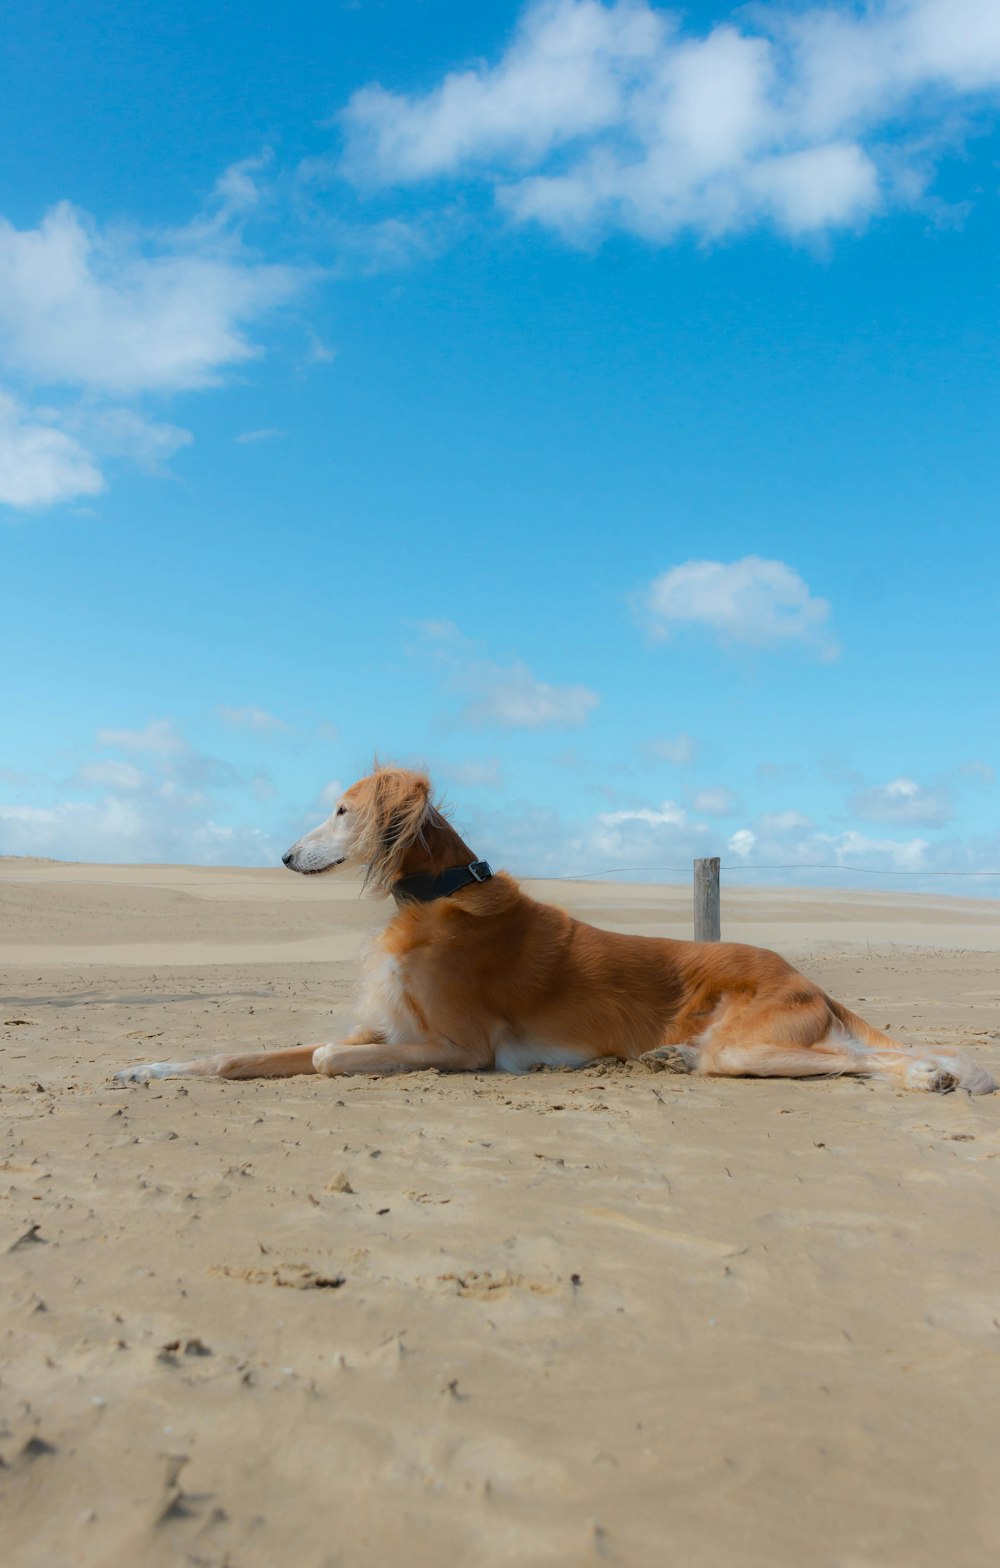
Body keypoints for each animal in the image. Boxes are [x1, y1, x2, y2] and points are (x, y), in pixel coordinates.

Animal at [115, 765, 996, 1097]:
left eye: (340, 809)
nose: (286, 856)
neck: (435, 902)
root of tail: (809, 979)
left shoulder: (460, 1048)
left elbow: (330, 1056)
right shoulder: (386, 1028)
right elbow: (237, 1057)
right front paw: (149, 1066)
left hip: (748, 1043)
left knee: (854, 1062)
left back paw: (931, 1075)